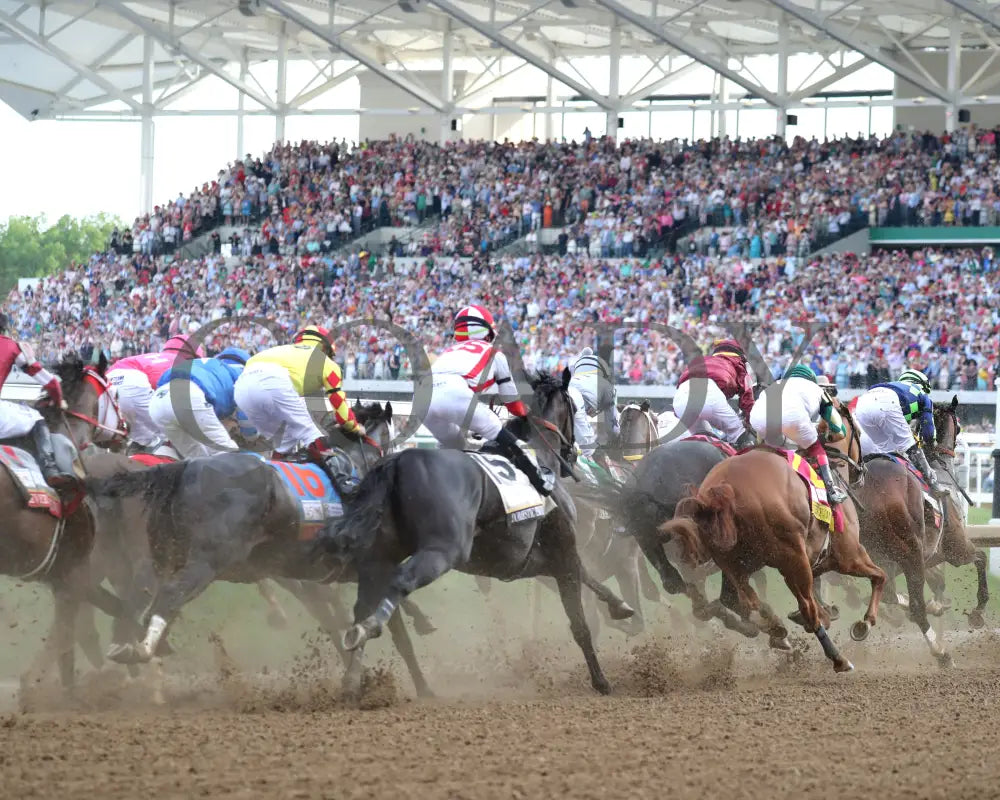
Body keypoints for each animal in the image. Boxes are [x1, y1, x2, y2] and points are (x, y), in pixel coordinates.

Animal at [316, 372, 632, 696]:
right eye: (575, 407)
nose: (576, 452)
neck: (539, 457)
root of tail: (396, 463)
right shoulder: (561, 552)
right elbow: (579, 621)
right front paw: (601, 680)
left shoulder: (535, 562)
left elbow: (587, 575)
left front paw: (620, 605)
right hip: (442, 550)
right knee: (400, 582)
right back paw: (371, 631)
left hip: (380, 553)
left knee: (364, 603)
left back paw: (353, 673)